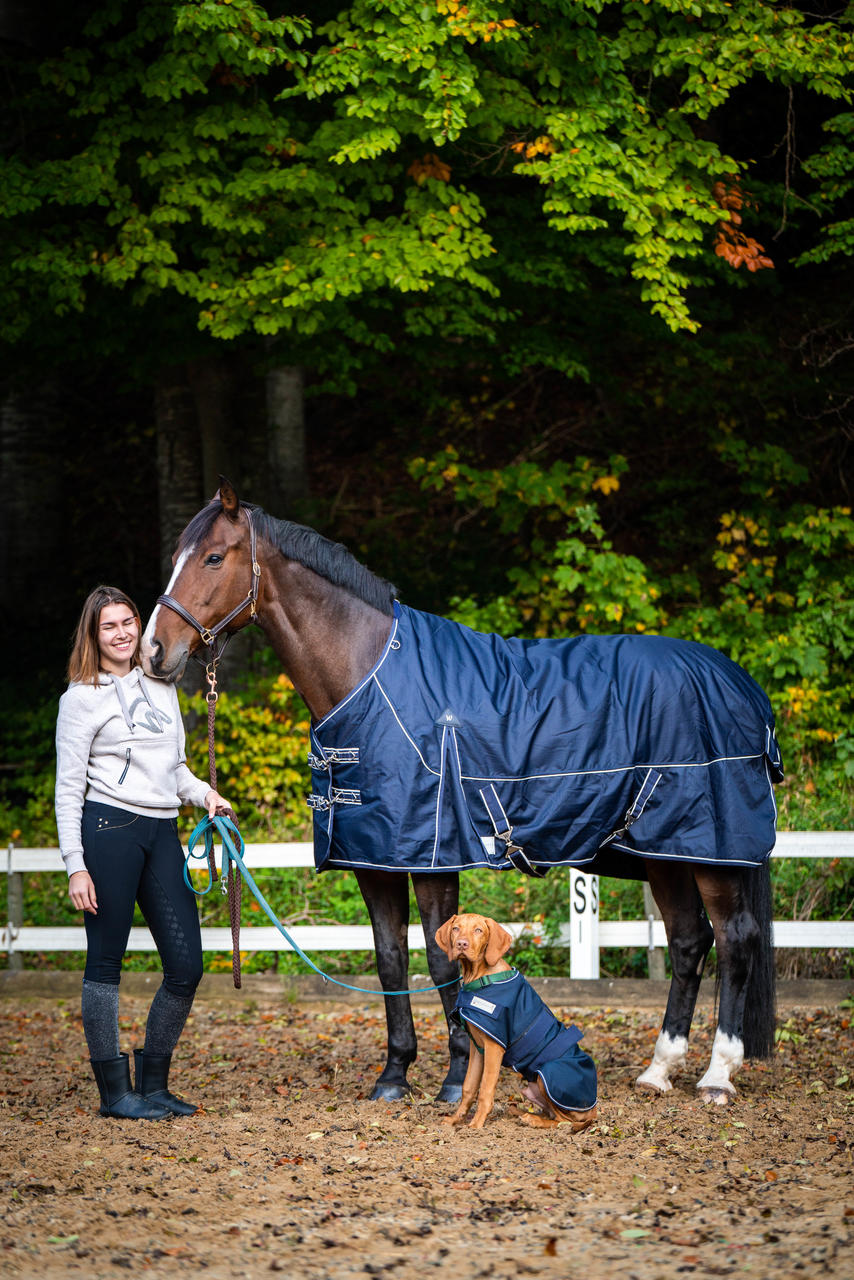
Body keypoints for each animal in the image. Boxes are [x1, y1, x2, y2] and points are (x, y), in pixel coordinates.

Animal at [142, 483, 783, 1105]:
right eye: (173, 556)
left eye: (213, 558)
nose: (153, 651)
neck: (370, 677)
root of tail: (738, 683)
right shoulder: (373, 859)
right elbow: (390, 959)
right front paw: (394, 1075)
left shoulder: (434, 855)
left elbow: (438, 955)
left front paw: (454, 1077)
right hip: (666, 853)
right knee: (688, 942)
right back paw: (658, 1071)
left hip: (714, 854)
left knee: (735, 941)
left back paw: (717, 1076)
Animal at [437, 911, 599, 1131]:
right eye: (456, 928)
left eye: (478, 930)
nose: (461, 944)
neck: (480, 977)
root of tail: (594, 1108)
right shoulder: (477, 1047)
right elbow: (468, 1086)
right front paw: (455, 1119)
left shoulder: (494, 1047)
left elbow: (485, 1089)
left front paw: (476, 1124)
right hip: (531, 1088)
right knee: (550, 1113)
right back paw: (518, 1112)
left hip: (546, 1076)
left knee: (563, 1121)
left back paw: (532, 1119)